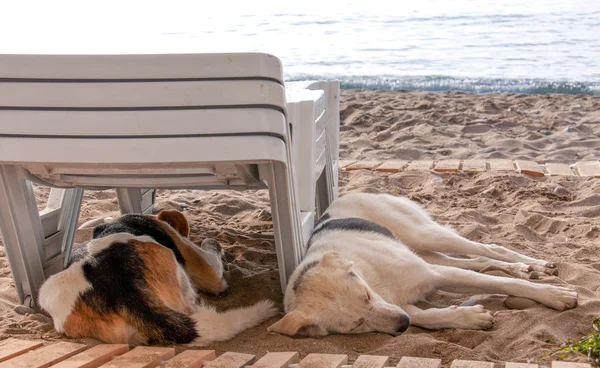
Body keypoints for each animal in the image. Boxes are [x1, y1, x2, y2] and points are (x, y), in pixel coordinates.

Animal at [268, 193, 576, 336]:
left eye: (366, 295)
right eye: (355, 325)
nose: (401, 325)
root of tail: (345, 195)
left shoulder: (434, 274)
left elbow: (503, 284)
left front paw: (554, 295)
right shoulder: (402, 304)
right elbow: (425, 317)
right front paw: (468, 318)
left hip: (424, 235)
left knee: (488, 248)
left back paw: (534, 264)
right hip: (426, 251)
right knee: (480, 260)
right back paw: (524, 268)